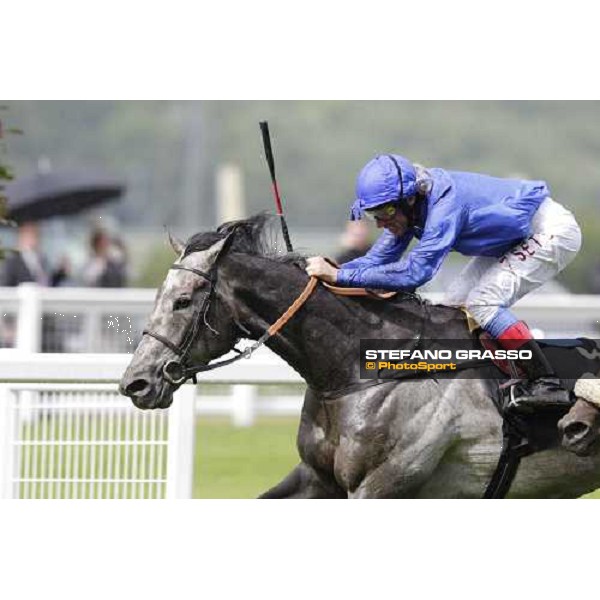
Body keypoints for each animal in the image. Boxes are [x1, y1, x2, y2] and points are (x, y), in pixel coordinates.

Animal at [118, 214, 600, 496]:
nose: (135, 383)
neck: (362, 369)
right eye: (157, 296)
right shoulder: (316, 478)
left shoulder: (381, 485)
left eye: (182, 301)